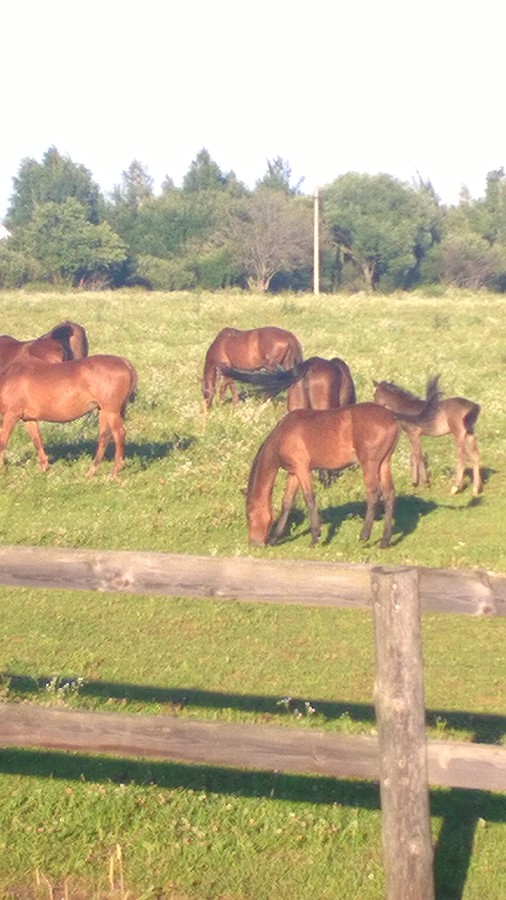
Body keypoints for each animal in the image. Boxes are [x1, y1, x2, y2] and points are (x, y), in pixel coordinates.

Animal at [0, 356, 136, 478]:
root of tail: (126, 363)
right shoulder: (29, 419)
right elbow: (37, 440)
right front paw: (45, 468)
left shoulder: (11, 414)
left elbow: (2, 441)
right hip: (105, 412)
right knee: (104, 437)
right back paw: (93, 471)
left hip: (111, 412)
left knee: (119, 435)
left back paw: (113, 473)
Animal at [244, 380, 438, 548]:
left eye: (249, 516)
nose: (254, 543)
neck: (284, 434)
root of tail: (391, 417)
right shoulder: (294, 473)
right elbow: (287, 502)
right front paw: (276, 538)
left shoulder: (302, 469)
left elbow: (309, 498)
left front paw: (315, 536)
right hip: (384, 463)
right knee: (389, 494)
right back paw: (385, 540)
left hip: (369, 464)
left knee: (373, 494)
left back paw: (364, 536)